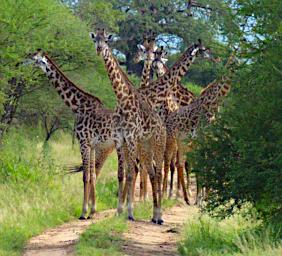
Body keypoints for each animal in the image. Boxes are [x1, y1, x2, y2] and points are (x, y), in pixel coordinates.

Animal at [29, 49, 124, 218]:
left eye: (33, 58)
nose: (19, 63)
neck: (77, 106)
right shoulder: (91, 146)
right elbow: (92, 176)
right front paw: (92, 210)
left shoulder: (83, 143)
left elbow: (85, 176)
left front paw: (83, 212)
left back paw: (122, 210)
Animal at [90, 28, 167, 224]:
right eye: (95, 40)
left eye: (106, 41)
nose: (99, 49)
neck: (121, 97)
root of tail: (162, 125)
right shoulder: (120, 139)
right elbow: (121, 174)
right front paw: (119, 211)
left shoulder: (131, 138)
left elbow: (131, 173)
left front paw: (130, 213)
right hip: (145, 147)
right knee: (152, 172)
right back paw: (154, 215)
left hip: (157, 144)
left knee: (159, 172)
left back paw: (160, 215)